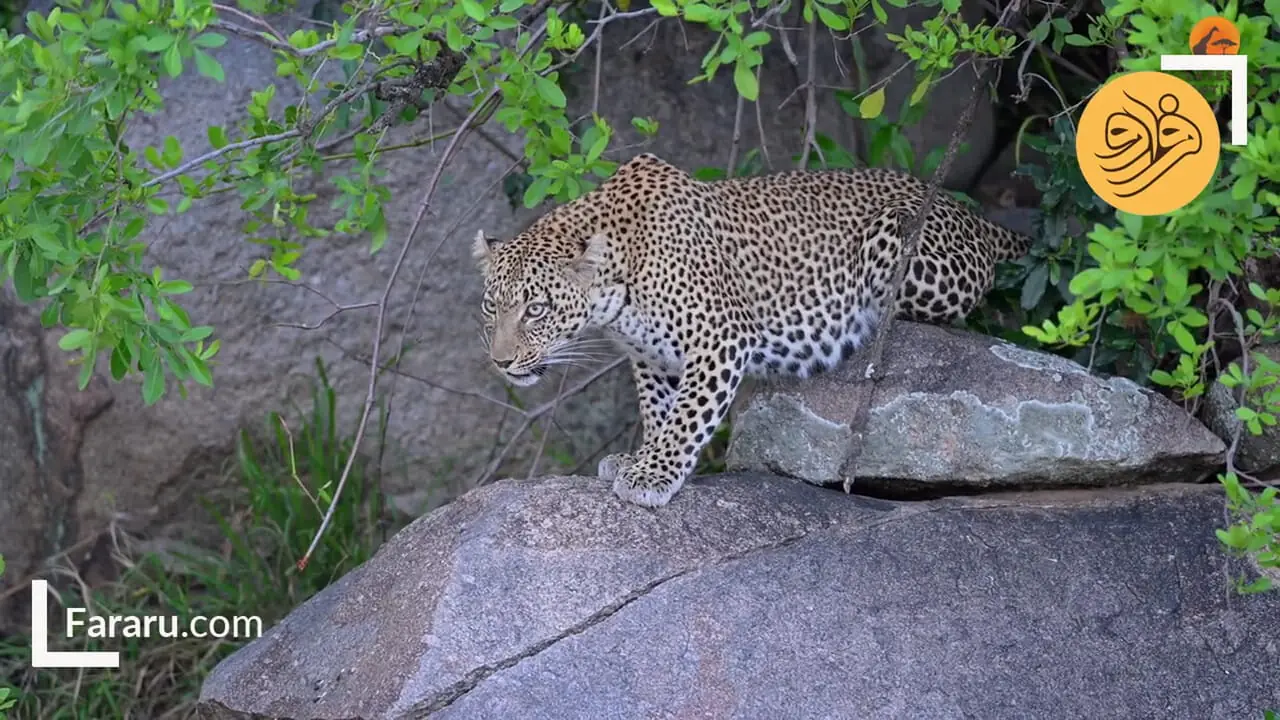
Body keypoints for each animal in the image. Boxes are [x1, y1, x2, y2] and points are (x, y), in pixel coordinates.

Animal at [476, 154, 1034, 507]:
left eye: (536, 309)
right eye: (491, 307)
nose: (501, 363)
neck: (615, 293)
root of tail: (973, 216)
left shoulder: (720, 338)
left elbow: (687, 417)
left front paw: (653, 474)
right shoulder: (652, 357)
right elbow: (659, 411)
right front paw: (642, 457)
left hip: (896, 237)